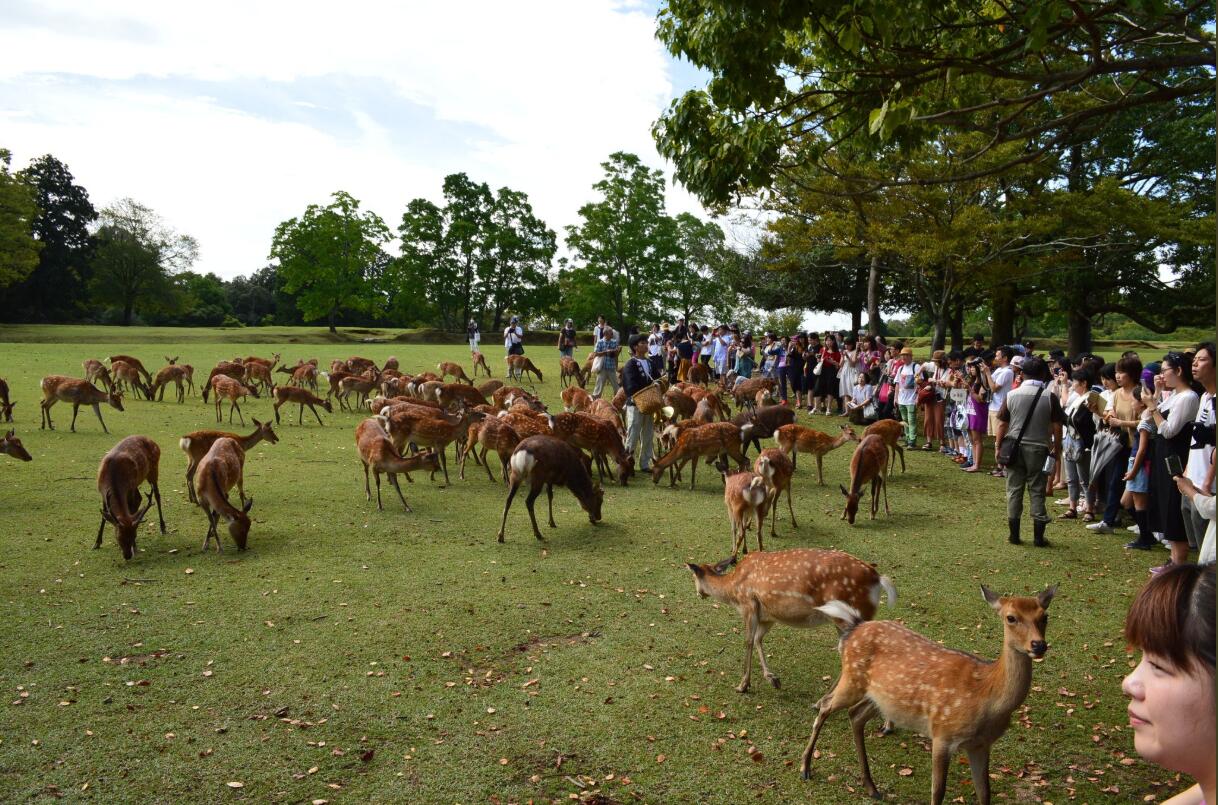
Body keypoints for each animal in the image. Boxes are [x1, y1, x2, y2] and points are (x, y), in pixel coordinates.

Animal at [686, 550, 896, 691]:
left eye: (693, 577)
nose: (699, 594)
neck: (732, 592)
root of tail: (879, 579)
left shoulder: (749, 605)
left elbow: (748, 641)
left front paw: (743, 685)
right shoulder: (768, 616)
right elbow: (758, 639)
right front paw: (772, 679)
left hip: (851, 614)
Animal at [799, 584, 1057, 803]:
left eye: (1044, 616)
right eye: (1011, 617)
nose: (1038, 645)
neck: (986, 697)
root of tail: (854, 626)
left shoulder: (981, 745)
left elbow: (985, 793)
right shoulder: (942, 733)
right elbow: (938, 791)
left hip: (883, 698)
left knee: (855, 715)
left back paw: (871, 787)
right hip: (852, 680)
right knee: (826, 706)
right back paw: (805, 768)